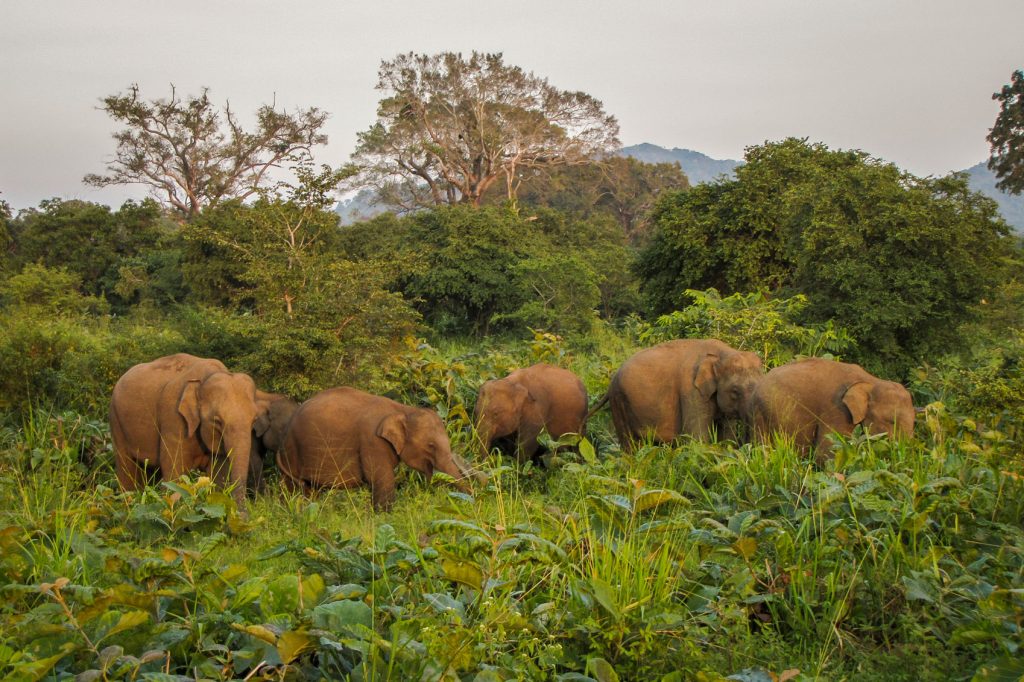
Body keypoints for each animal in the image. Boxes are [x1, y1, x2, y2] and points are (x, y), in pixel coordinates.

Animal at [109, 353, 261, 510]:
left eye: (254, 420)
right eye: (217, 421)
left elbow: (219, 474)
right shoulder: (174, 419)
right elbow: (175, 475)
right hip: (116, 421)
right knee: (126, 468)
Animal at [279, 386, 478, 510]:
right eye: (431, 445)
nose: (473, 500)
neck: (403, 410)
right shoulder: (372, 440)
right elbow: (381, 478)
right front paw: (384, 517)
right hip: (292, 452)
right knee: (295, 488)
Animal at [590, 339, 764, 451]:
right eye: (735, 391)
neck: (721, 355)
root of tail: (612, 380)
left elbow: (727, 435)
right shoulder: (691, 391)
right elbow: (696, 437)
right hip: (619, 402)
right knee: (630, 445)